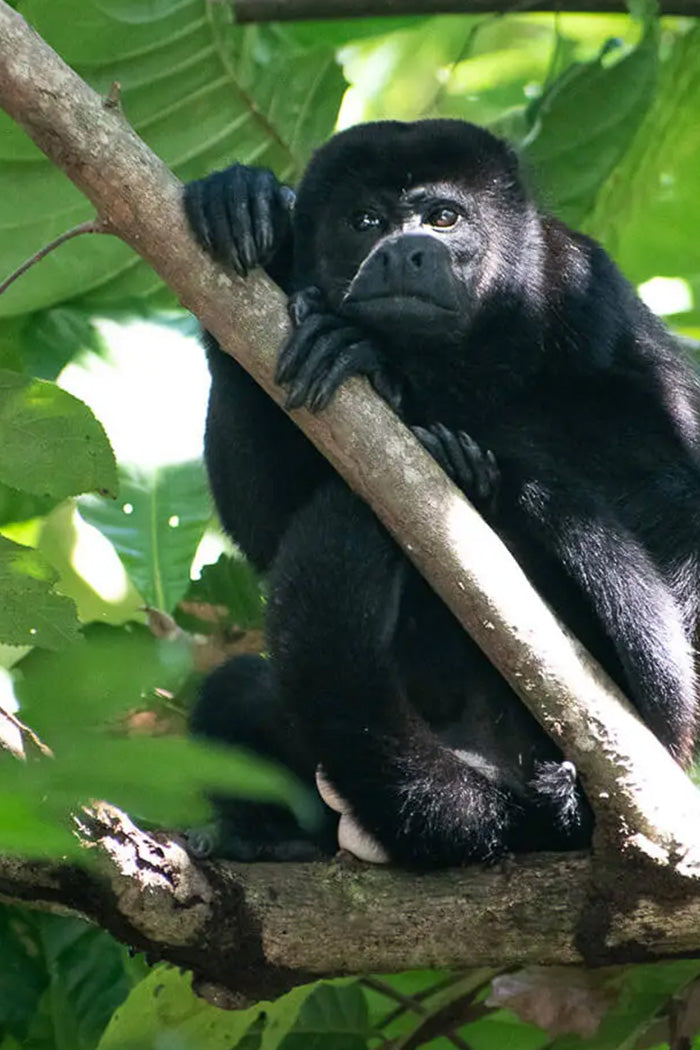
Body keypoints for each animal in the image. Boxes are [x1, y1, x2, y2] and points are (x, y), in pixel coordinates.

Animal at [184, 119, 700, 865]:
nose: (405, 250)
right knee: (237, 691)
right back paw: (268, 838)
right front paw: (251, 204)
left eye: (445, 217)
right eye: (365, 221)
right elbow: (266, 528)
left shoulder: (585, 287)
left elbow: (672, 484)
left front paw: (386, 371)